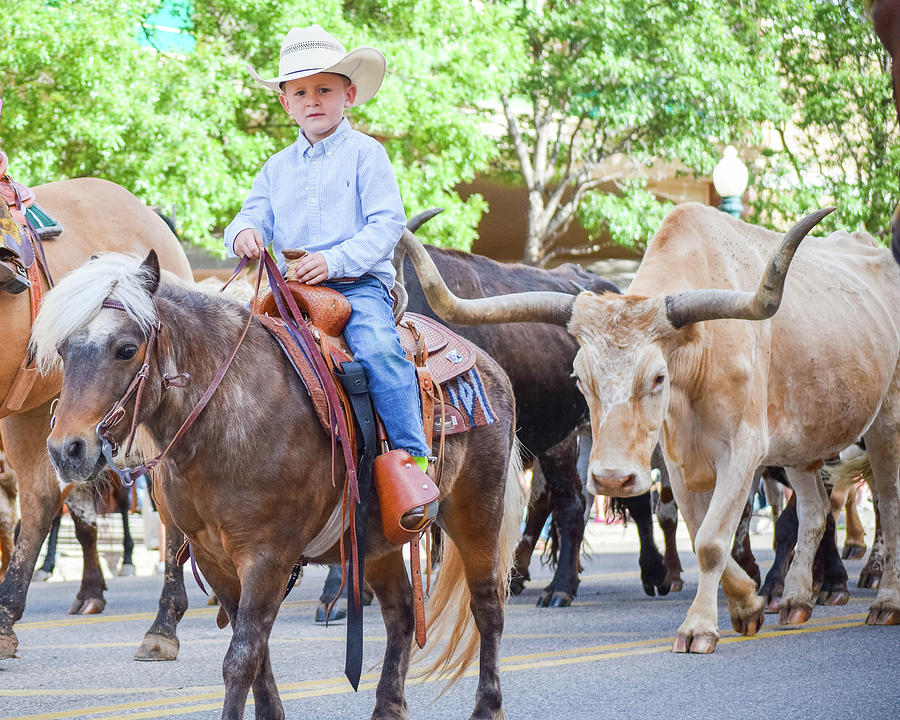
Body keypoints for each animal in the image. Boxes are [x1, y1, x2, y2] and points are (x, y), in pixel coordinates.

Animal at [35, 252, 524, 720]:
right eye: (63, 349)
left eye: (126, 349)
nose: (66, 449)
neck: (226, 418)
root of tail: (487, 364)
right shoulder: (215, 559)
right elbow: (256, 653)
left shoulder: (267, 557)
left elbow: (241, 658)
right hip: (376, 540)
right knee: (401, 612)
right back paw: (388, 707)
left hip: (476, 512)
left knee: (488, 607)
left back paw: (488, 706)